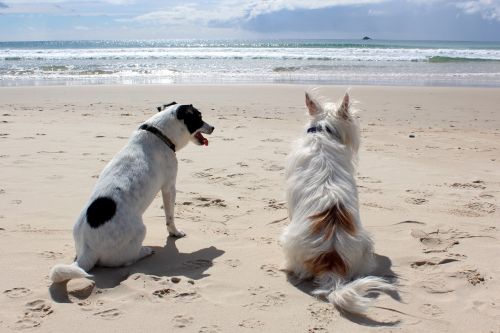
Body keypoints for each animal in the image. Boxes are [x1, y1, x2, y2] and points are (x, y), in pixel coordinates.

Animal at [49, 102, 214, 282]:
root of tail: (88, 250)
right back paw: (145, 251)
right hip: (140, 230)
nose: (213, 127)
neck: (159, 133)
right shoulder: (169, 187)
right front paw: (175, 233)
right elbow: (170, 217)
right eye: (199, 117)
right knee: (127, 260)